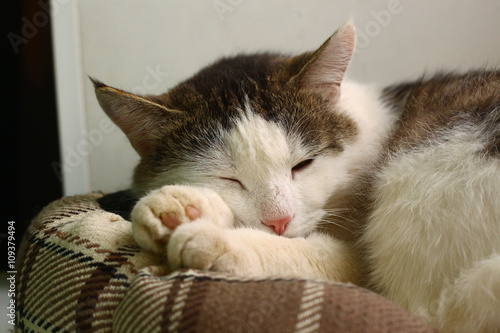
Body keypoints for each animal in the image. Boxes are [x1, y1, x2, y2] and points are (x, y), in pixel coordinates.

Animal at [92, 22, 498, 330]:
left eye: (303, 165)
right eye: (229, 179)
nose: (279, 221)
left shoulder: (358, 261)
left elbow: (314, 254)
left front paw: (215, 240)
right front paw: (177, 207)